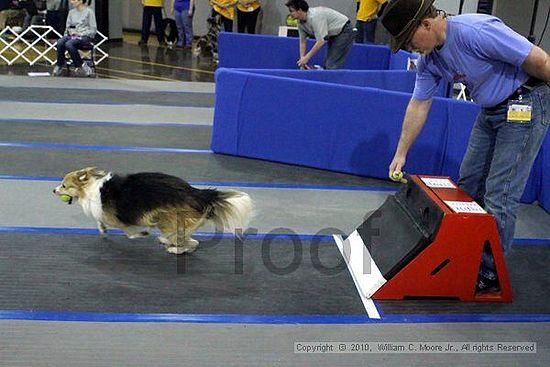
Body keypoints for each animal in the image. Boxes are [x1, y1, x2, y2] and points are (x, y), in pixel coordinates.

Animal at [53, 168, 252, 254]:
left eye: (64, 185)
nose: (53, 190)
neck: (89, 188)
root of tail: (192, 191)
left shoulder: (120, 219)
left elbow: (129, 232)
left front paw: (141, 234)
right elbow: (100, 222)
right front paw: (102, 229)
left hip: (165, 219)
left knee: (185, 241)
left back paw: (173, 247)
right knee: (191, 241)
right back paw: (171, 243)